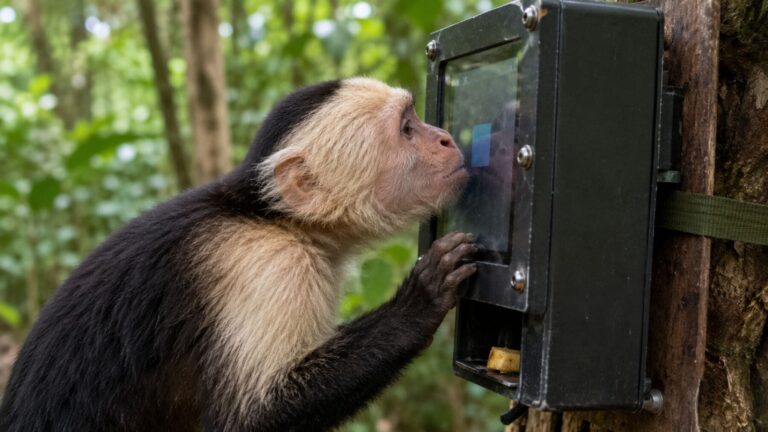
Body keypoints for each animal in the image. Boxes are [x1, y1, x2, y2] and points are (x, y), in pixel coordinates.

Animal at [0, 78, 477, 432]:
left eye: (415, 118)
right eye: (406, 129)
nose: (445, 138)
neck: (273, 218)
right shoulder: (267, 264)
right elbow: (248, 419)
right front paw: (420, 302)